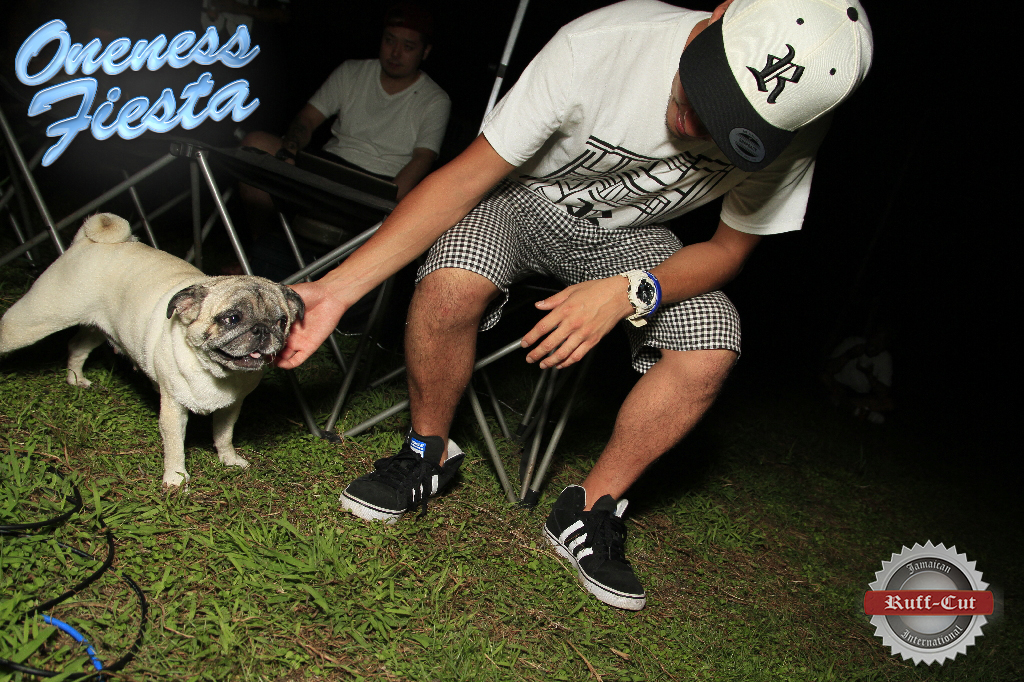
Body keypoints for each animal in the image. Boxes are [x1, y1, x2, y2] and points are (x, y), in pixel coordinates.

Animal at [0, 213, 304, 486]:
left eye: (282, 322)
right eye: (232, 318)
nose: (262, 329)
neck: (215, 372)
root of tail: (88, 241)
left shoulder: (230, 407)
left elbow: (223, 435)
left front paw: (228, 459)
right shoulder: (173, 409)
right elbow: (175, 447)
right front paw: (176, 479)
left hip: (97, 328)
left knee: (76, 346)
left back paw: (76, 379)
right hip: (36, 319)